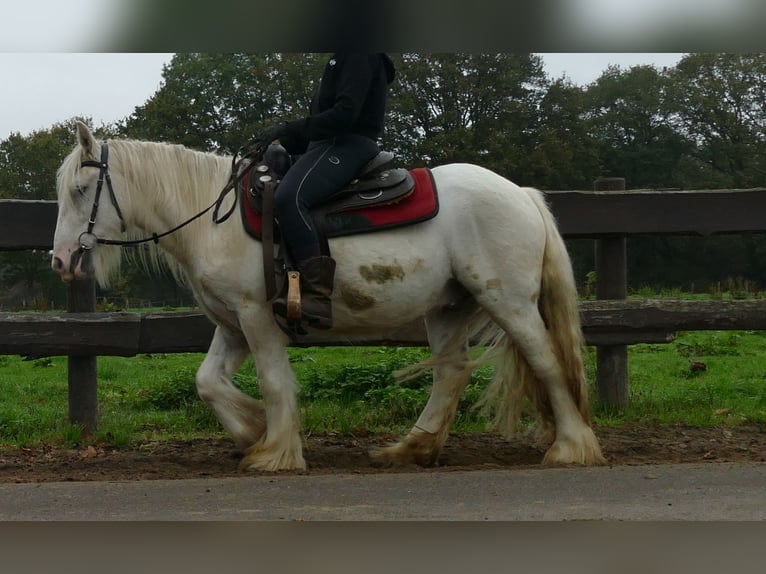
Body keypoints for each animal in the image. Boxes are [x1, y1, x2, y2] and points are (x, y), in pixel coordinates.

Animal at [51, 121, 605, 471]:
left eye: (80, 190)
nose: (61, 261)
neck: (213, 217)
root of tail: (522, 195)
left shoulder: (256, 317)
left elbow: (274, 383)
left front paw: (276, 452)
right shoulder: (231, 324)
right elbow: (207, 382)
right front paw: (252, 431)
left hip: (509, 301)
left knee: (547, 361)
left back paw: (572, 447)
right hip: (448, 307)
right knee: (451, 373)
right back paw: (411, 449)